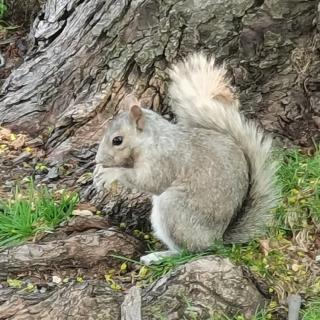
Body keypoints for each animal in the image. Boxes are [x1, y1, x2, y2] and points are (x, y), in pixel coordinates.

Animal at [93, 53, 278, 264]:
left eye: (117, 140)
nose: (98, 160)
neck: (151, 140)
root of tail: (216, 239)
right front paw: (99, 171)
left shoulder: (164, 160)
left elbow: (149, 182)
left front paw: (111, 173)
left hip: (173, 209)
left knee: (188, 251)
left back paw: (159, 256)